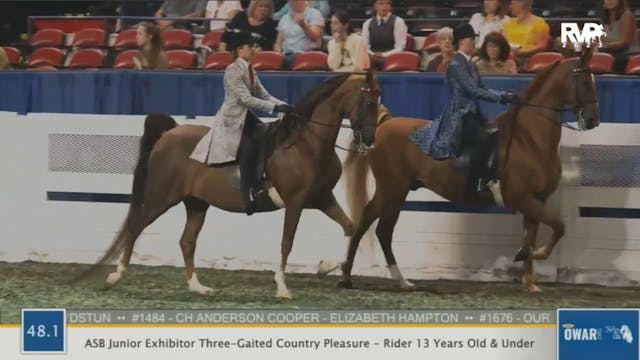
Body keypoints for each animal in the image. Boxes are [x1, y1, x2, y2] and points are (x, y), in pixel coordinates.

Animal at [71, 69, 380, 298]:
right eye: (367, 102)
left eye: (379, 103)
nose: (369, 141)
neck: (306, 145)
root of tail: (170, 133)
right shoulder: (296, 203)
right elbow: (287, 242)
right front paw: (282, 287)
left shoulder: (322, 198)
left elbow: (351, 228)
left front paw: (325, 266)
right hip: (162, 197)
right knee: (136, 226)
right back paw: (115, 276)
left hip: (196, 203)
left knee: (187, 242)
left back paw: (198, 286)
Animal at [322, 45, 604, 292]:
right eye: (584, 81)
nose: (593, 120)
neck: (529, 139)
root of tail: (383, 126)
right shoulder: (524, 199)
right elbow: (559, 227)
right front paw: (532, 254)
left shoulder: (536, 201)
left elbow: (533, 235)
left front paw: (530, 281)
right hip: (393, 189)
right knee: (380, 228)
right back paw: (389, 280)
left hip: (393, 190)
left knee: (369, 221)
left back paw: (356, 277)